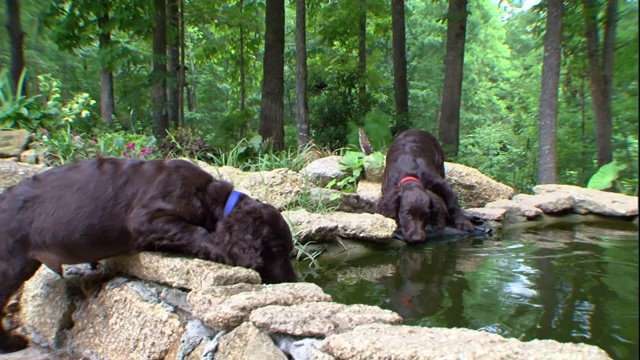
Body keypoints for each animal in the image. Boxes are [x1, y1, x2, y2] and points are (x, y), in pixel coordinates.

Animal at [0, 158, 298, 352]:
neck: (212, 197)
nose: (292, 282)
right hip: (10, 263)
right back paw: (9, 344)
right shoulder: (147, 217)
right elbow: (197, 232)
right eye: (276, 249)